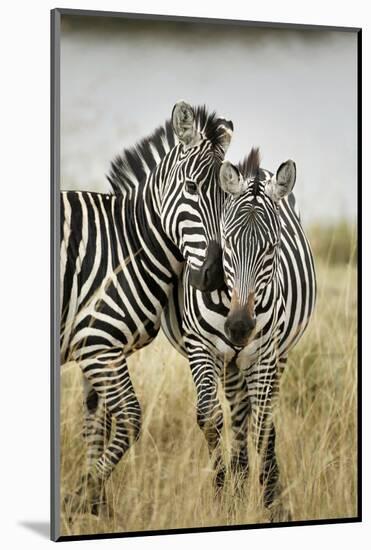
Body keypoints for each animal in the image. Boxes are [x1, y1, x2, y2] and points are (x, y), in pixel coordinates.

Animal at [61, 100, 235, 516]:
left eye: (227, 197)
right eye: (191, 188)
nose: (214, 277)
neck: (129, 242)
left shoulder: (96, 348)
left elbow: (97, 422)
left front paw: (96, 506)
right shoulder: (99, 345)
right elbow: (129, 420)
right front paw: (81, 499)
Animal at [166, 147, 316, 520]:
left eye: (272, 247)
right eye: (228, 243)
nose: (239, 327)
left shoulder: (264, 354)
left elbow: (263, 426)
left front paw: (271, 503)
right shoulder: (201, 347)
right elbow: (210, 418)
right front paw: (224, 498)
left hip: (277, 356)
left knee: (258, 416)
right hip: (231, 363)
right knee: (237, 415)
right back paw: (239, 480)